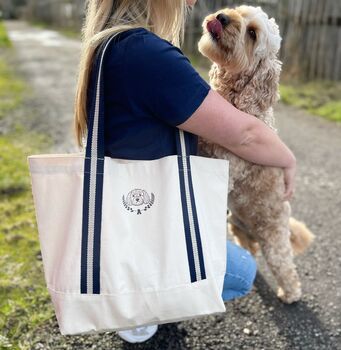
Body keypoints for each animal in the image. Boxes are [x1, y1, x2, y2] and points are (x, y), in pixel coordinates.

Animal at [198, 4, 314, 304]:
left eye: (252, 33)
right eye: (238, 10)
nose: (222, 17)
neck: (234, 96)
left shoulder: (227, 163)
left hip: (275, 243)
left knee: (286, 269)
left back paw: (289, 295)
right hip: (236, 225)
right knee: (250, 249)